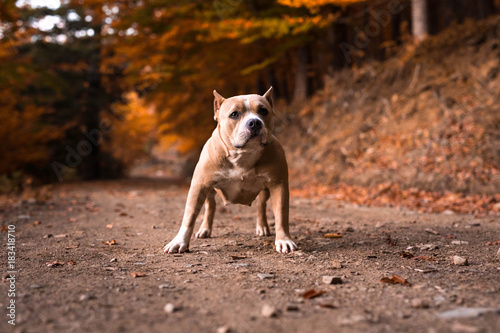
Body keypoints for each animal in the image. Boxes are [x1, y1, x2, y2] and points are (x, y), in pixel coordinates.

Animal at [164, 87, 296, 253]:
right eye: (234, 114)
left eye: (263, 111)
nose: (254, 122)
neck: (243, 155)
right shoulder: (199, 185)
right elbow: (189, 215)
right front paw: (179, 241)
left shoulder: (278, 184)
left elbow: (281, 214)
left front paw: (284, 240)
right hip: (209, 189)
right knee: (211, 205)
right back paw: (205, 229)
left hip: (266, 189)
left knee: (261, 204)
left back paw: (262, 227)